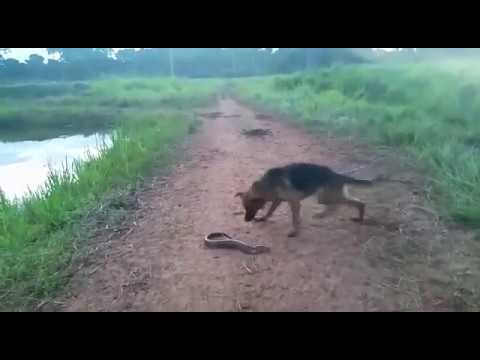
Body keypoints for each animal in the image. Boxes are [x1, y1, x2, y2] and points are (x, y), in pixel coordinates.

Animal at [234, 162, 374, 236]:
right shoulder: (278, 200)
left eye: (249, 208)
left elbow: (294, 218)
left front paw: (294, 231)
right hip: (329, 197)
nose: (246, 220)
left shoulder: (294, 202)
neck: (266, 185)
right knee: (356, 203)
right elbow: (270, 211)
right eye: (244, 208)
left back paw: (322, 215)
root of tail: (337, 174)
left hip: (325, 197)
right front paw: (263, 218)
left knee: (339, 206)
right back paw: (358, 218)